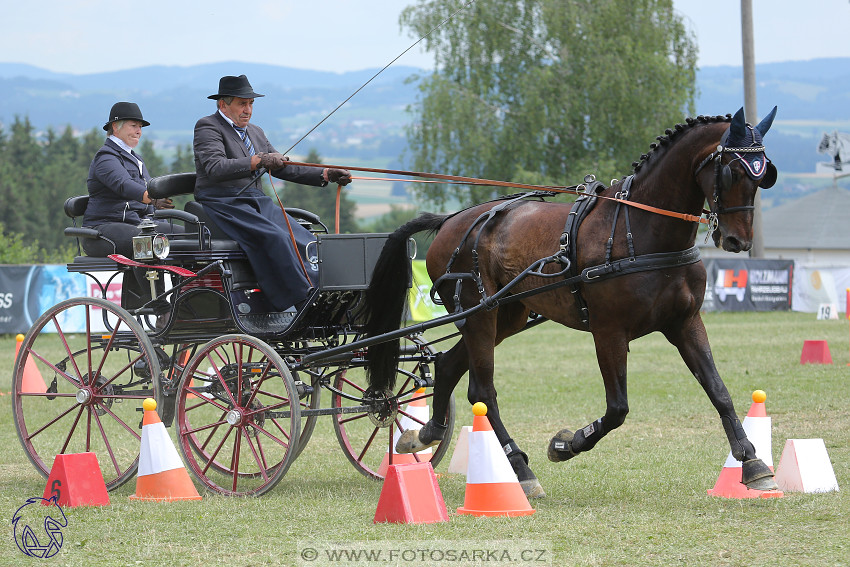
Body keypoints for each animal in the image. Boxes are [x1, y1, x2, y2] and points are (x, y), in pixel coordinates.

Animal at [362, 106, 780, 496]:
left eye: (764, 175)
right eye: (732, 172)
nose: (738, 240)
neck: (641, 231)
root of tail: (450, 220)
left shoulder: (686, 322)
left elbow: (719, 390)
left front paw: (752, 462)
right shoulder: (609, 332)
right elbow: (617, 408)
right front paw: (566, 444)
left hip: (503, 316)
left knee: (448, 366)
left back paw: (427, 433)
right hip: (478, 316)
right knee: (482, 392)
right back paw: (520, 468)